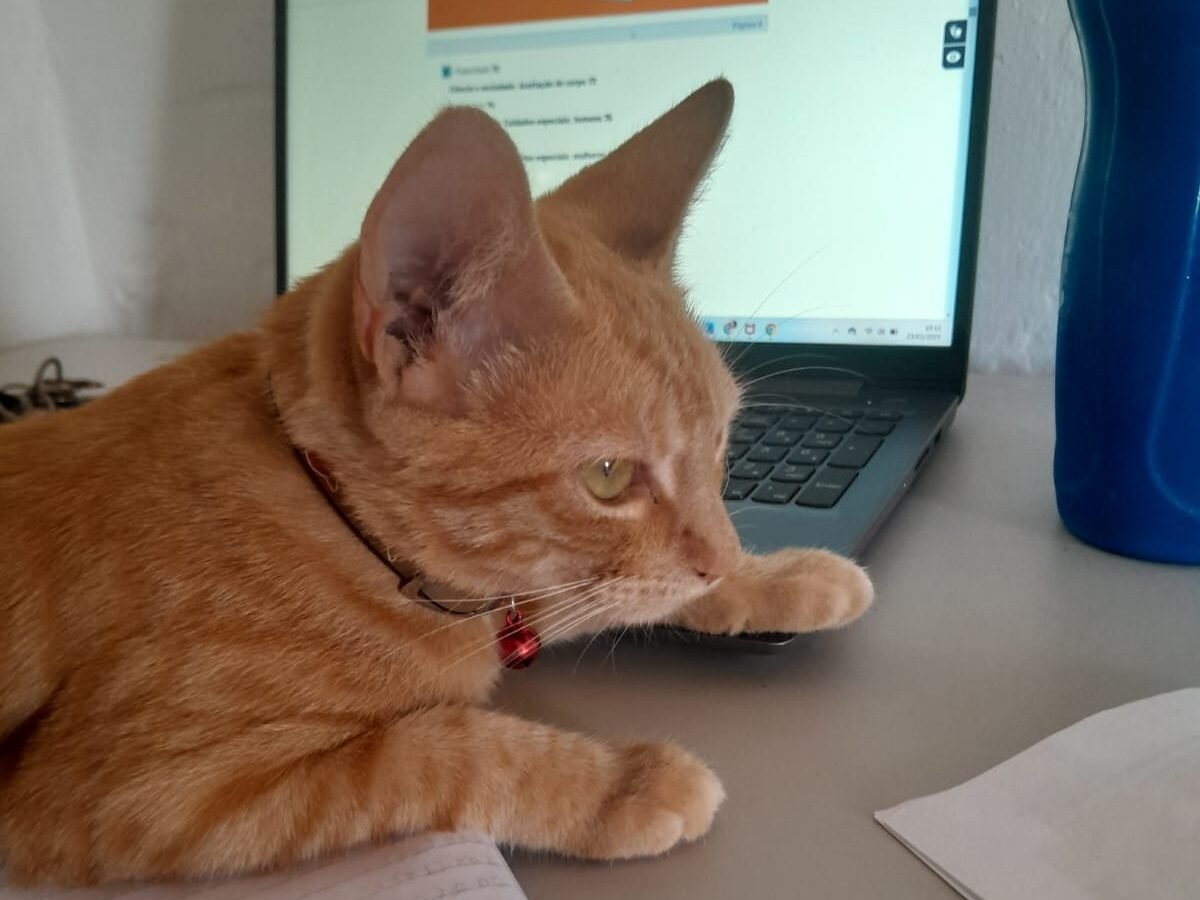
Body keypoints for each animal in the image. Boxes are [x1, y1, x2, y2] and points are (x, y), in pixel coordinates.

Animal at [0, 79, 872, 886]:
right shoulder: (143, 794)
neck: (337, 520)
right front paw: (625, 785)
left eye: (723, 444)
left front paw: (779, 576)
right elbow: (446, 747)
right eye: (609, 477)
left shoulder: (503, 600)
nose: (720, 561)